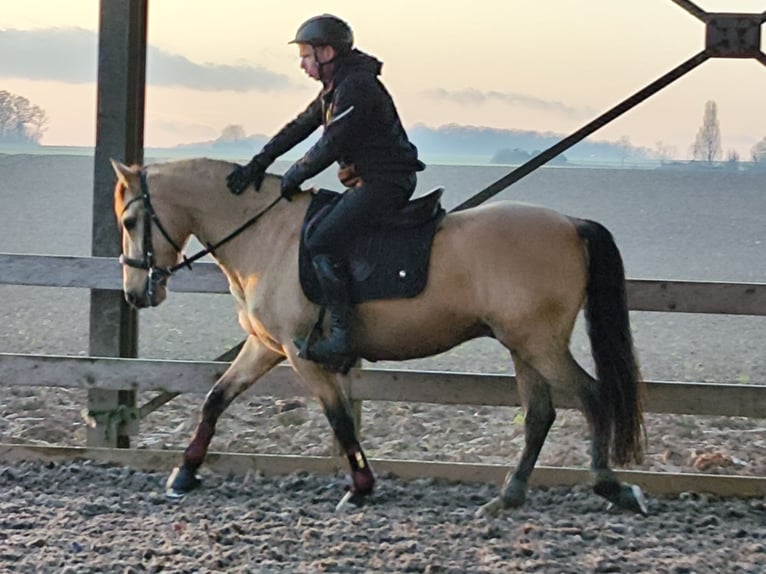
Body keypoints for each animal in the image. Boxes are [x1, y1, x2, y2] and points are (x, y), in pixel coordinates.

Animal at [111, 158, 652, 516]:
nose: (136, 293)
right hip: (522, 345)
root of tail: (570, 224)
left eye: (131, 220)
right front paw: (184, 474)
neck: (268, 236)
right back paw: (508, 497)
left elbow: (339, 418)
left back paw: (611, 488)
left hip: (540, 344)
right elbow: (215, 399)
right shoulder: (266, 346)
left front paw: (361, 486)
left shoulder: (303, 355)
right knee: (540, 414)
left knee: (591, 395)